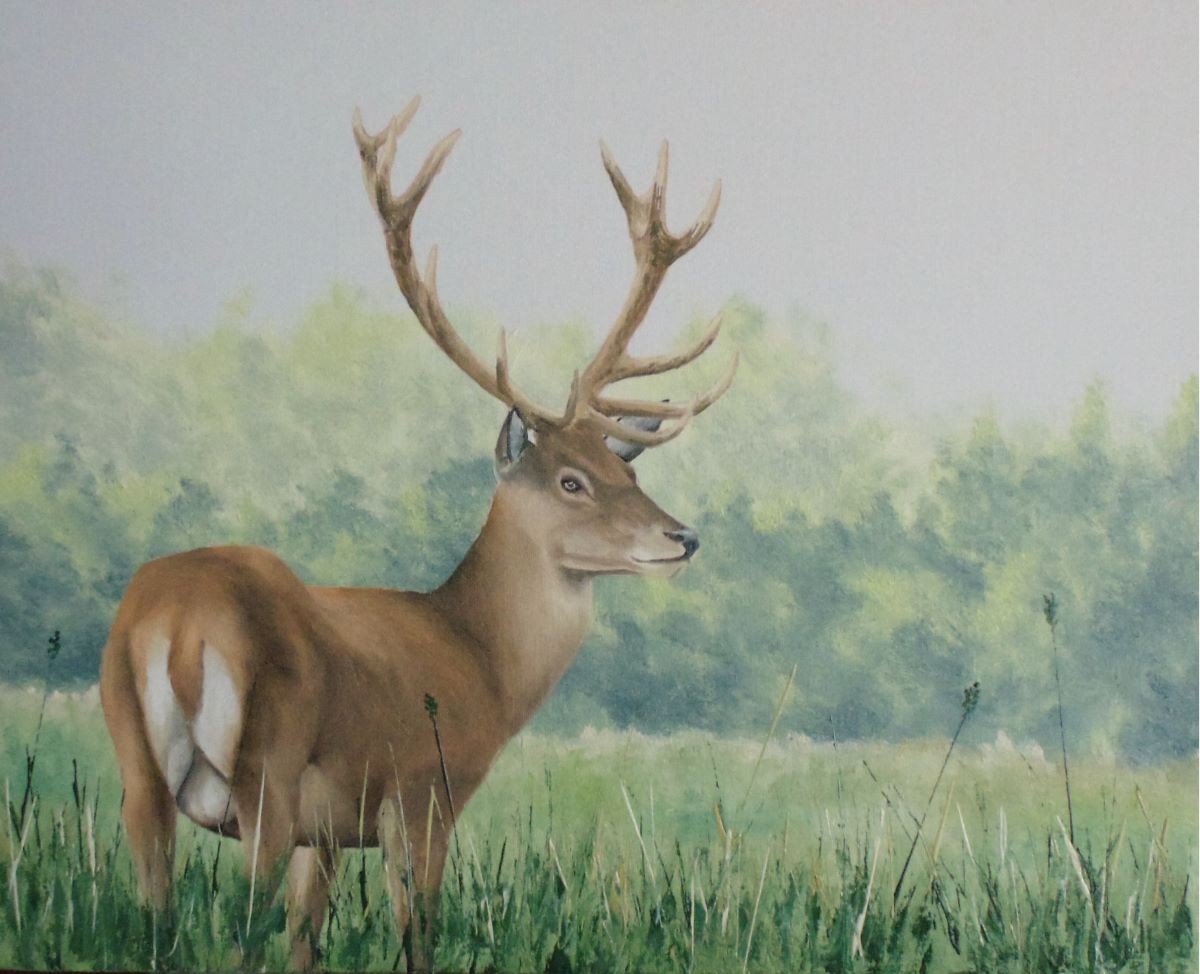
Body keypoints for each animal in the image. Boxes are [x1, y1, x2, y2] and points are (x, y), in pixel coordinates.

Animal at [98, 96, 736, 972]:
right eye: (571, 480)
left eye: (627, 471)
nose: (683, 538)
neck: (480, 658)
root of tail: (178, 626)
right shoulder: (424, 792)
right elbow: (417, 933)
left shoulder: (326, 831)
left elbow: (308, 939)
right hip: (266, 768)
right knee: (240, 930)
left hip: (134, 760)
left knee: (155, 913)